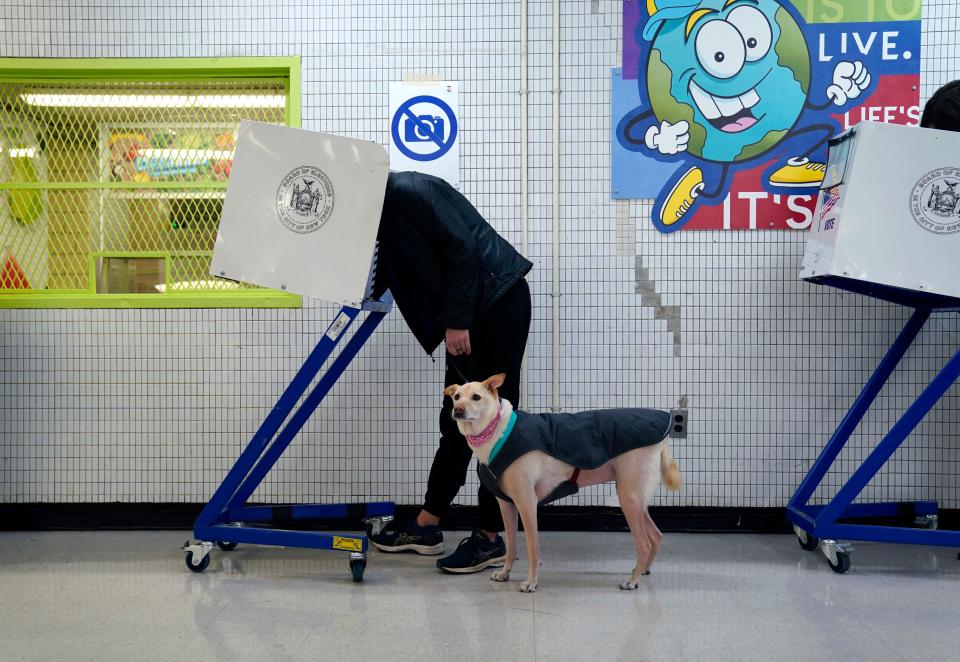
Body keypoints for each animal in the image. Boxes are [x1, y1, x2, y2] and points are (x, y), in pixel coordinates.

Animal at [444, 376, 684, 592]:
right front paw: (505, 573)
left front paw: (531, 582)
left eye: (476, 397)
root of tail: (663, 435)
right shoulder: (506, 504)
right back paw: (642, 570)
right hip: (635, 498)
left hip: (629, 498)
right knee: (656, 536)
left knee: (644, 542)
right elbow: (511, 545)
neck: (495, 430)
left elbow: (533, 548)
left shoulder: (526, 503)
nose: (457, 410)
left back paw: (632, 581)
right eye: (456, 397)